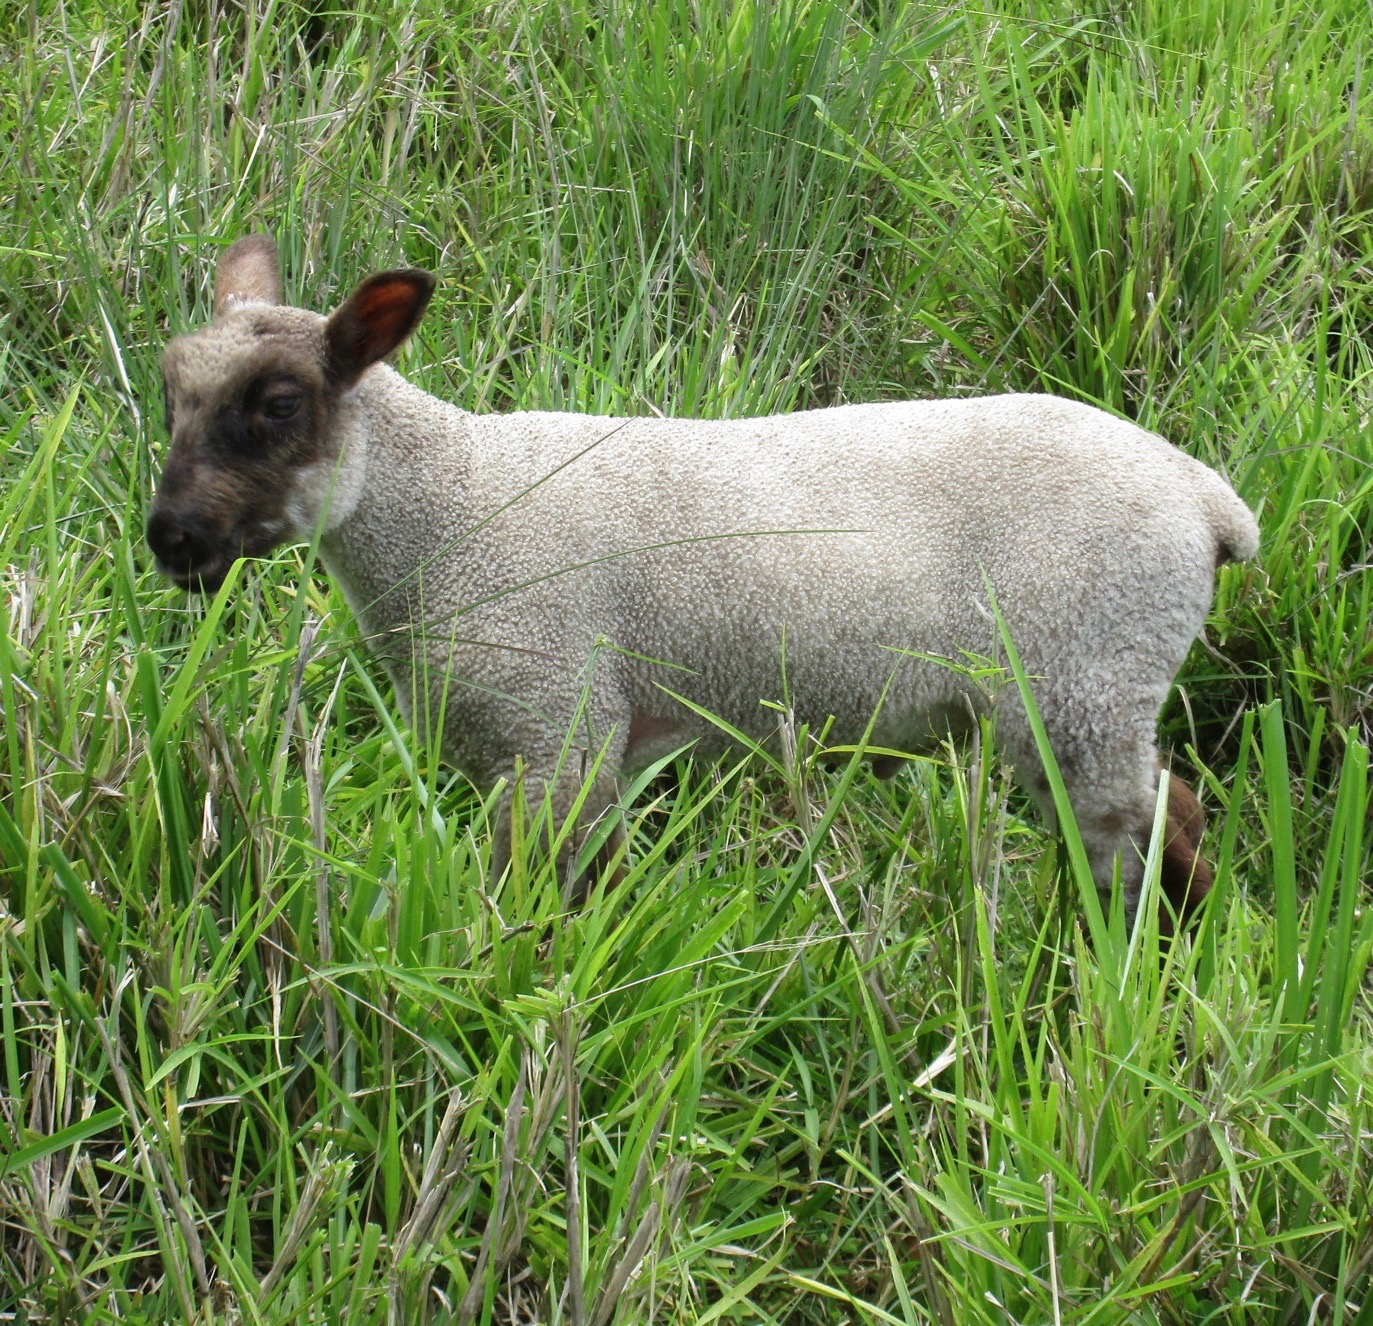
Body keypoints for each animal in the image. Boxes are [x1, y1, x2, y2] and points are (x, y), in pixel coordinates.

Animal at [147, 233, 1257, 922]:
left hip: (1082, 682)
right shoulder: (555, 748)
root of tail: (1205, 499)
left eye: (280, 404)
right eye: (169, 394)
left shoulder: (555, 732)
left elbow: (533, 903)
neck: (453, 507)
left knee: (1148, 836)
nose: (171, 539)